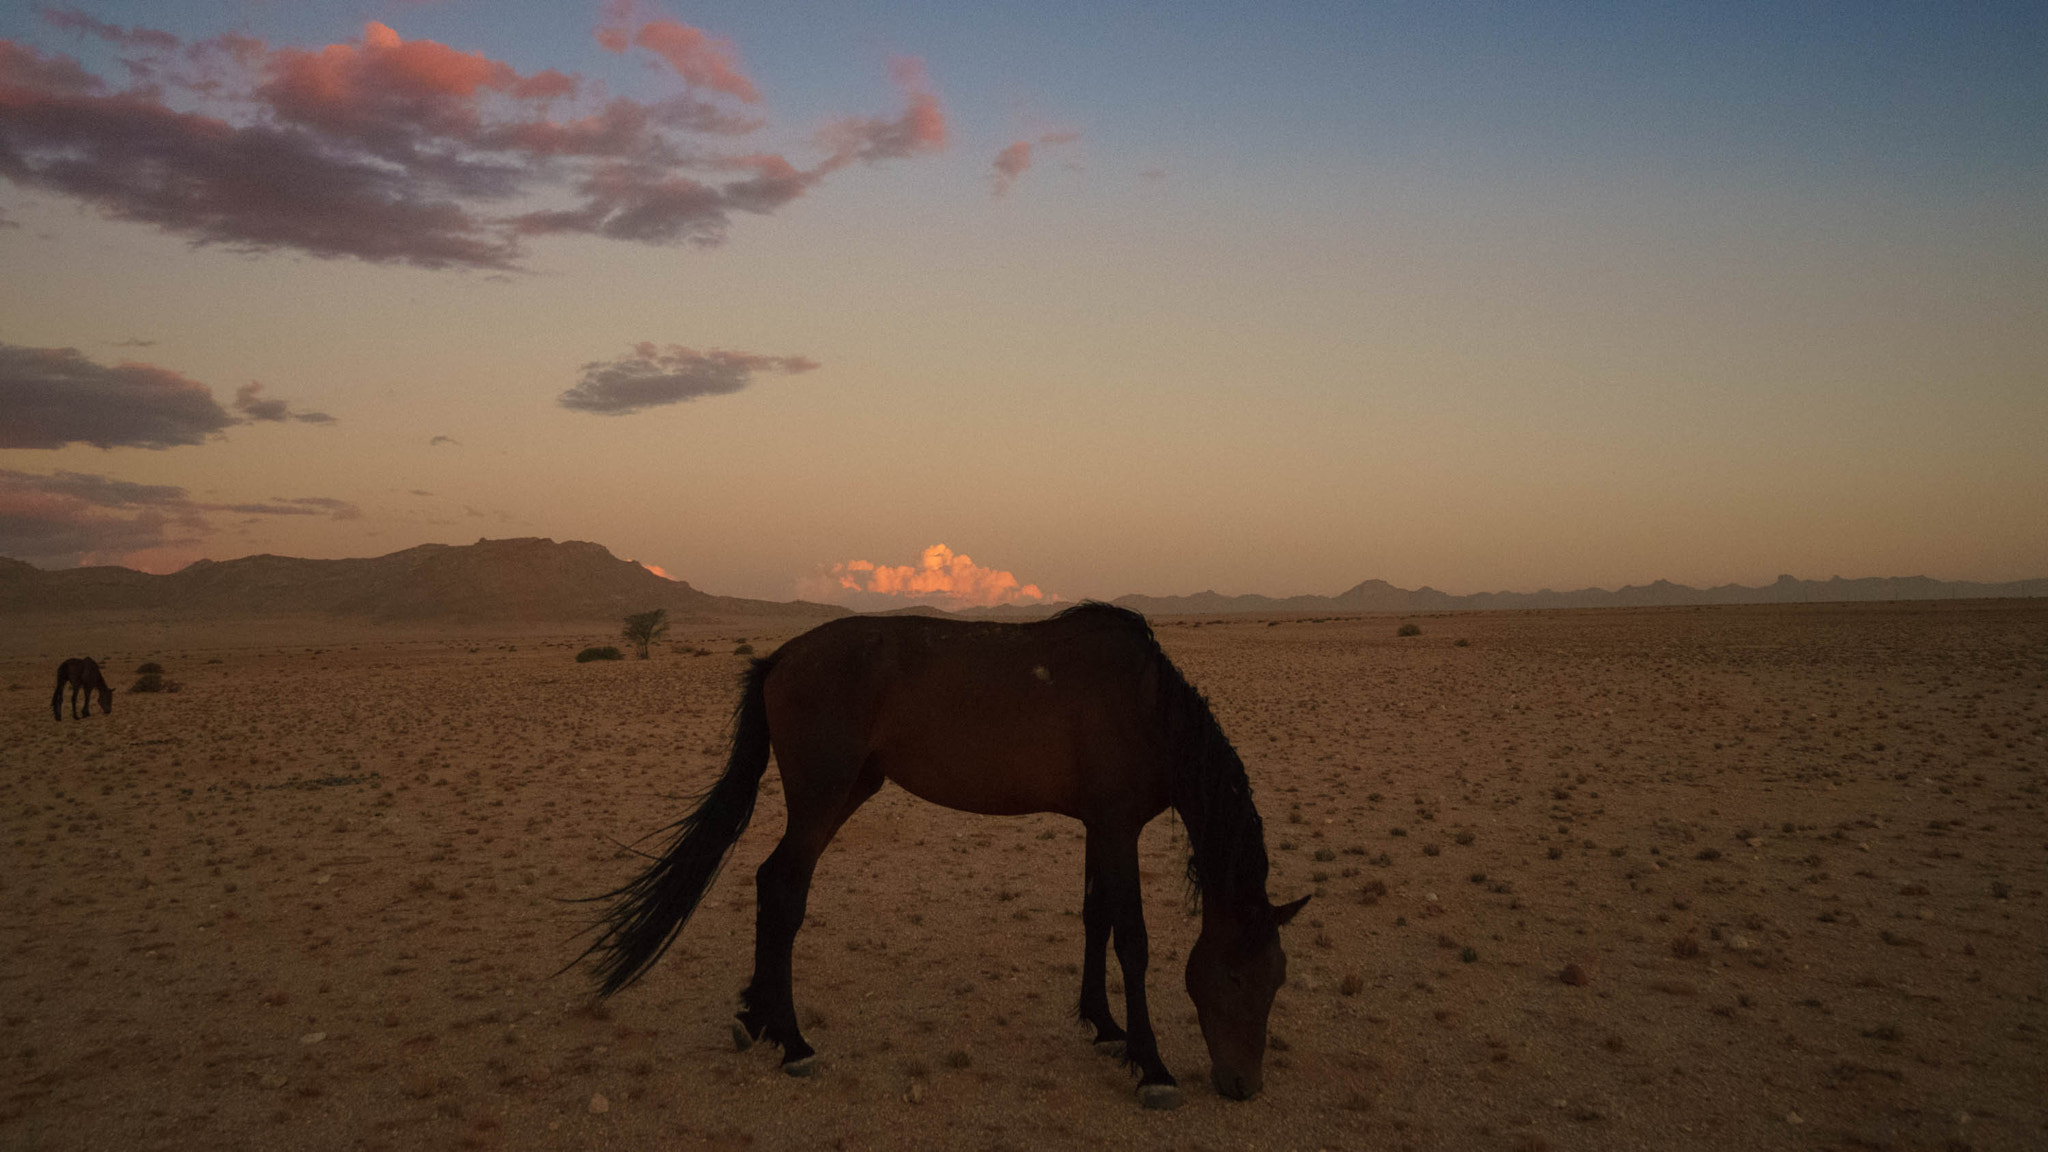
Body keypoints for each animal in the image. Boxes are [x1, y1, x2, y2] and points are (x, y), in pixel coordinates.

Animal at [577, 602, 1302, 1106]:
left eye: (1277, 981)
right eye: (1238, 979)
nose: (1243, 1085)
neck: (1144, 705)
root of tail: (780, 657)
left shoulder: (1100, 827)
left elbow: (1095, 919)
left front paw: (1103, 1026)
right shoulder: (1120, 827)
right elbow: (1133, 940)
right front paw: (1151, 1067)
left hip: (852, 789)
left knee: (767, 882)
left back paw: (756, 1019)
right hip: (823, 797)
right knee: (783, 888)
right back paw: (792, 1041)